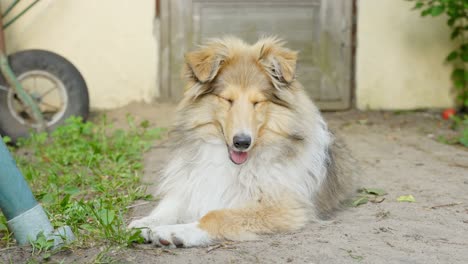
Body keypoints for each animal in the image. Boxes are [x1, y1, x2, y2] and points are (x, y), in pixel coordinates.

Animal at [129, 36, 352, 248]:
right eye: (227, 100)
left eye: (257, 102)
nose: (242, 142)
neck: (230, 163)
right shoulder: (194, 184)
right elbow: (169, 206)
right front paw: (145, 223)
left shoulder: (283, 207)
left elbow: (216, 215)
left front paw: (175, 232)